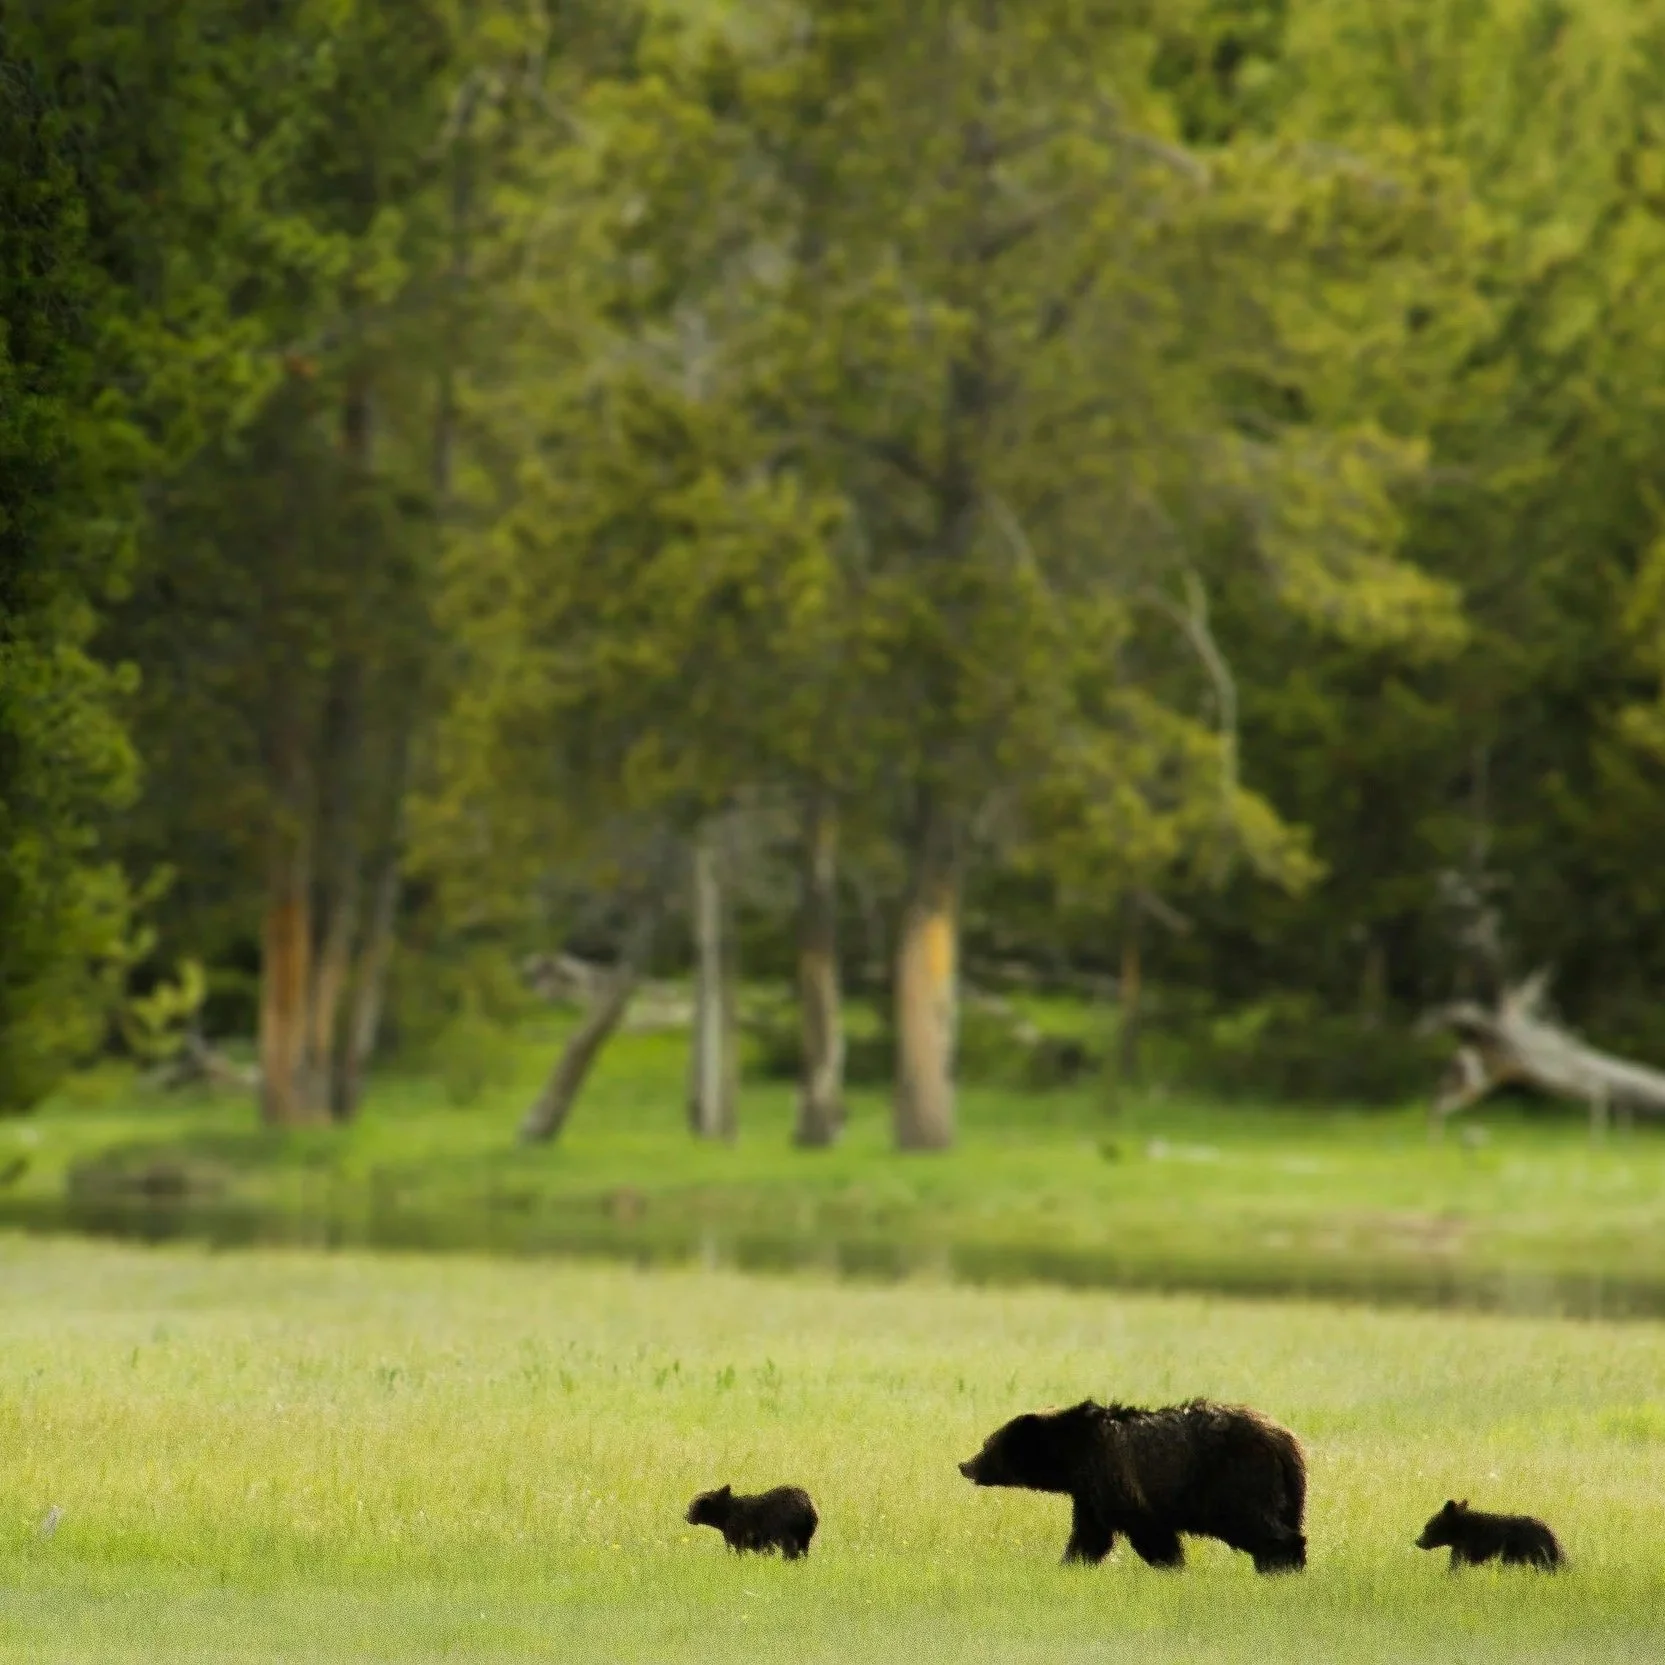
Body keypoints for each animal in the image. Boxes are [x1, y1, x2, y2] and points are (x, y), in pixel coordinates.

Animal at [685, 1484, 819, 1559]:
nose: (686, 1516)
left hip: (787, 1531)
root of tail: (808, 1507)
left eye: (693, 1505)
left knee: (790, 1550)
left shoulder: (738, 1533)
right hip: (805, 1535)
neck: (723, 1518)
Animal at [959, 1397, 1306, 1574]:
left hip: (1237, 1481)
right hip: (1288, 1492)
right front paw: (1070, 1564)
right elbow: (1090, 1534)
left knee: (1259, 1525)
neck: (1073, 1454)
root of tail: (1284, 1440)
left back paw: (1280, 1566)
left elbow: (1146, 1528)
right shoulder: (1089, 1494)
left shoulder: (1116, 1477)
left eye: (987, 1445)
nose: (964, 1465)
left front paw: (1171, 1566)